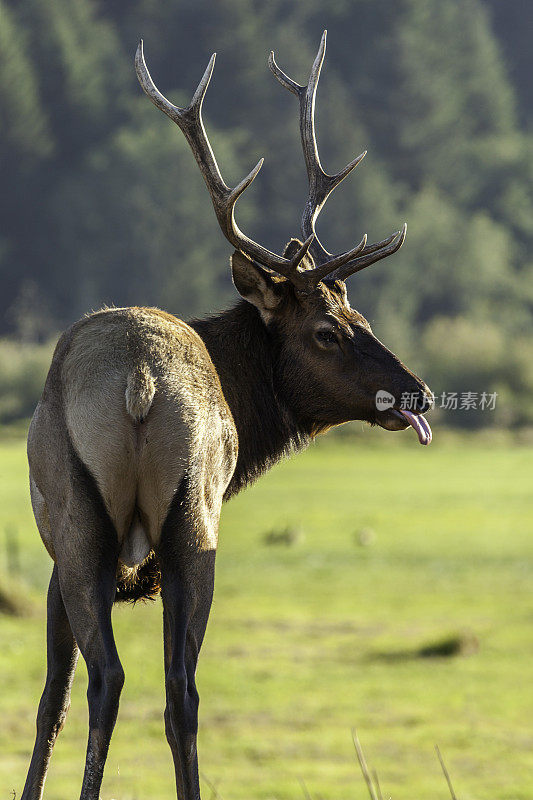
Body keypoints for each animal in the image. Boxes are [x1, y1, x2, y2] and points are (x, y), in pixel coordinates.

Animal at [20, 28, 432, 800]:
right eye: (331, 328)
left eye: (355, 317)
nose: (418, 393)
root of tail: (143, 383)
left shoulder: (56, 559)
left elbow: (49, 700)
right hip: (193, 520)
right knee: (180, 688)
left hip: (83, 524)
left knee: (108, 678)